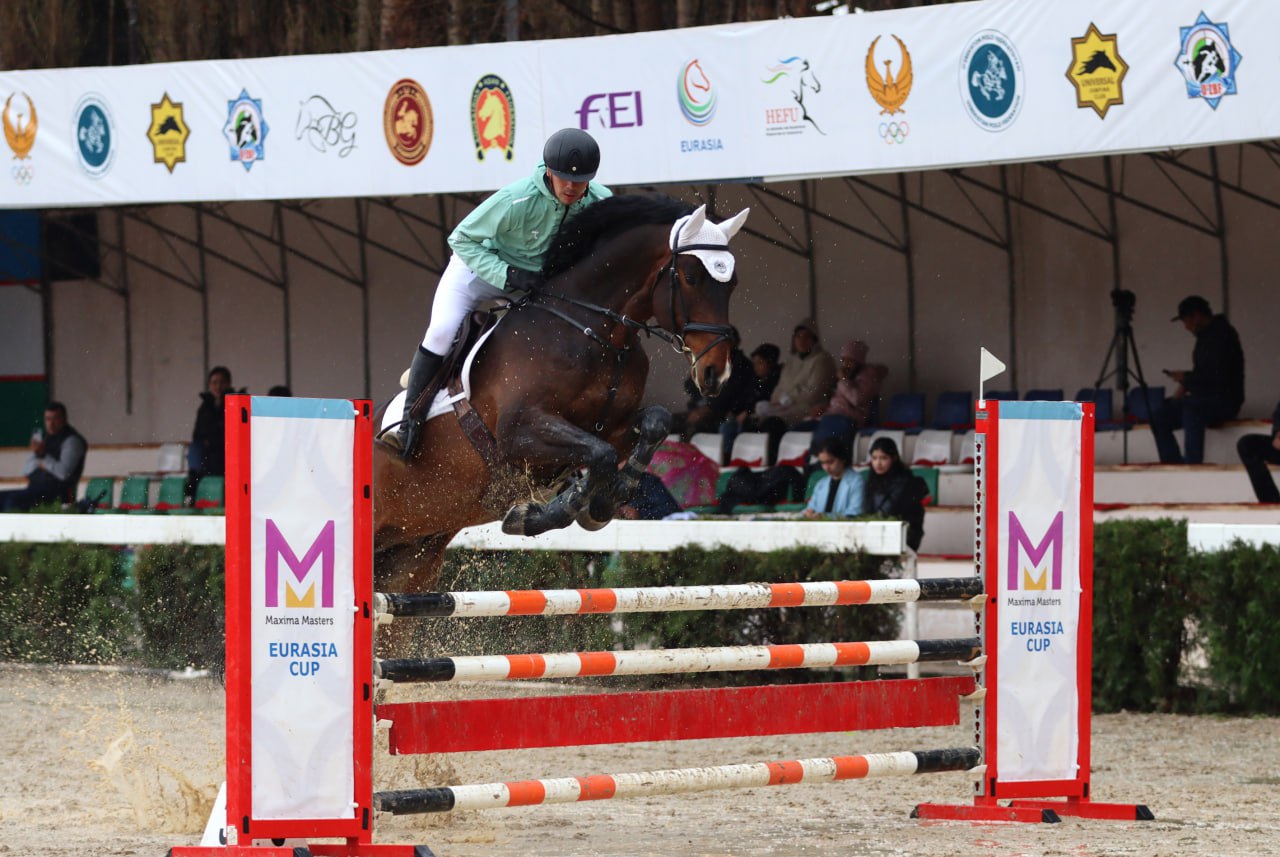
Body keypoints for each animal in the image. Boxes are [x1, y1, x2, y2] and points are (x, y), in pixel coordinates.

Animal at [373, 194, 750, 594]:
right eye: (691, 278)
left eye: (732, 284)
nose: (717, 373)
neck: (590, 331)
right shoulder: (517, 435)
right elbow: (600, 455)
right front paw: (539, 514)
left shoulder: (611, 426)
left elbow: (653, 423)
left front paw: (604, 501)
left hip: (411, 559)